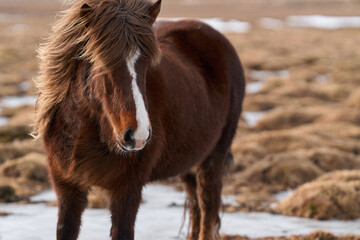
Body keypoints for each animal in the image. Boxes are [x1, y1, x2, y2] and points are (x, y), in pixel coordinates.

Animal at [33, 0, 245, 240]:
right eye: (101, 62)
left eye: (146, 64)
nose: (138, 135)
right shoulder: (67, 189)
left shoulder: (128, 188)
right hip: (190, 163)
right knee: (196, 209)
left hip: (213, 160)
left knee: (208, 209)